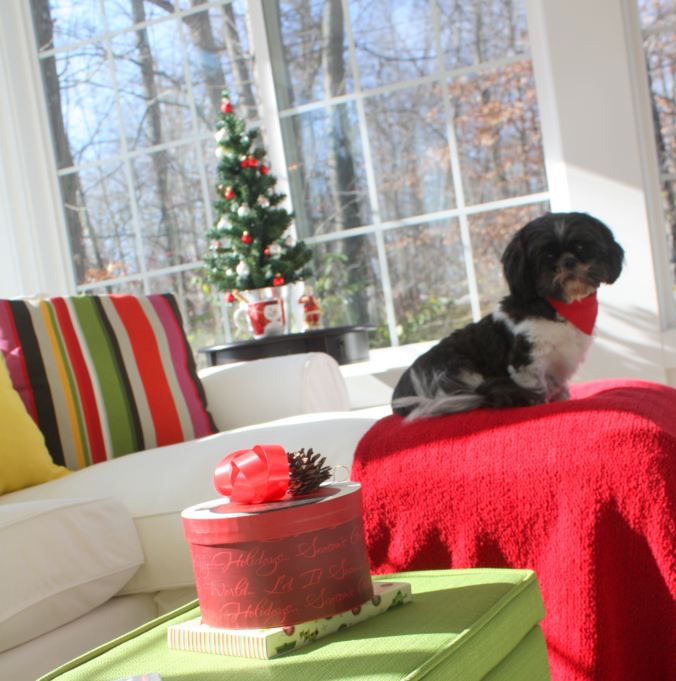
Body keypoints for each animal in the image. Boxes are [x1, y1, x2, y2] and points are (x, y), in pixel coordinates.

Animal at [390, 210, 624, 418]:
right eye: (547, 255)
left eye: (581, 246)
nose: (568, 261)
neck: (558, 307)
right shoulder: (527, 360)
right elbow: (537, 387)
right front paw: (539, 405)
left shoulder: (558, 368)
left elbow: (560, 390)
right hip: (457, 370)